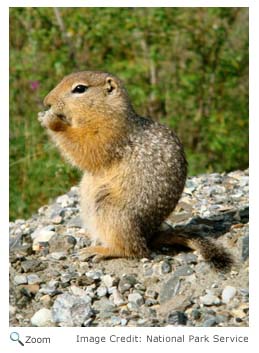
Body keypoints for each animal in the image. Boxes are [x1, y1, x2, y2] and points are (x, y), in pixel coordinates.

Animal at [38, 71, 234, 270]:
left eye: (79, 89)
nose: (47, 102)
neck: (108, 111)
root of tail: (149, 236)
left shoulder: (110, 133)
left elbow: (86, 147)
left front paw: (50, 120)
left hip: (112, 211)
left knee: (136, 250)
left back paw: (100, 251)